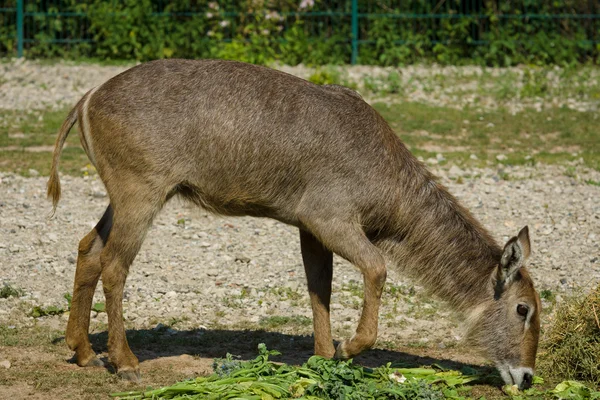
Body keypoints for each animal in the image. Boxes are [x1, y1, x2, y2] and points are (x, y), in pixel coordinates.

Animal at [49, 58, 540, 388]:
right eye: (524, 308)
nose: (527, 376)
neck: (389, 182)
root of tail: (86, 100)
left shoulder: (309, 228)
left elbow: (318, 289)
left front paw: (322, 358)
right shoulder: (330, 217)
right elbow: (376, 268)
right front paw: (347, 348)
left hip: (124, 196)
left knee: (87, 247)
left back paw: (84, 352)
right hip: (142, 191)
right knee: (115, 265)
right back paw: (126, 363)